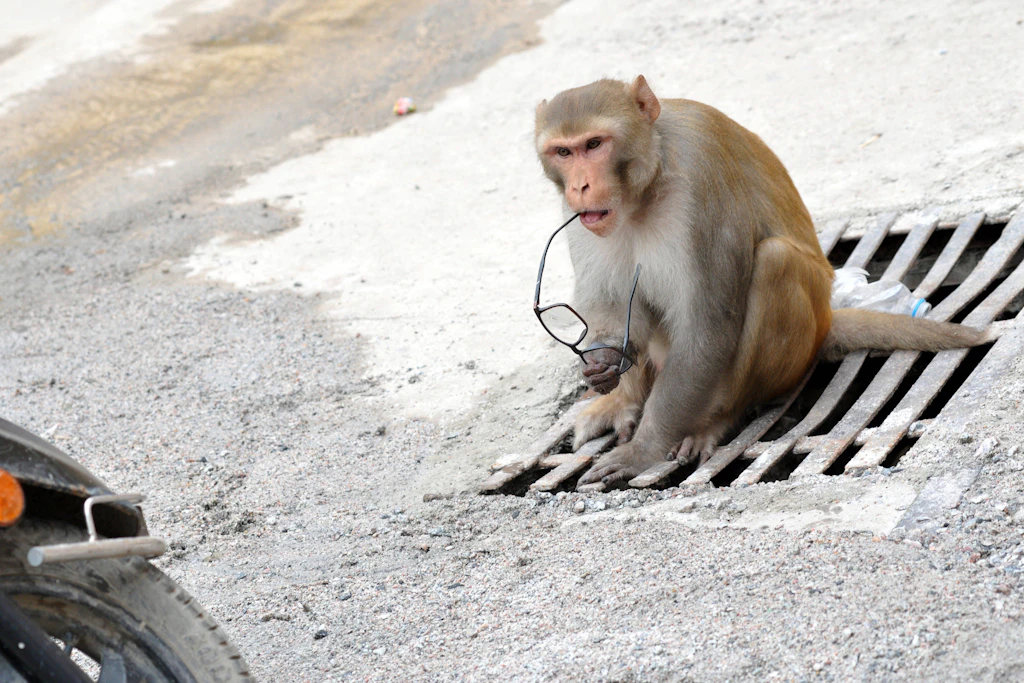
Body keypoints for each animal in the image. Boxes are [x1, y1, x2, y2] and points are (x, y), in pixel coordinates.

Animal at [533, 75, 989, 488]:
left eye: (595, 144)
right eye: (563, 151)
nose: (580, 185)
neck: (646, 186)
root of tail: (825, 321)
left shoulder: (701, 186)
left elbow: (707, 329)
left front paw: (643, 451)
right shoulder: (576, 218)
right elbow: (610, 305)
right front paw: (604, 365)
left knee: (774, 261)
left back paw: (718, 420)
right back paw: (623, 401)